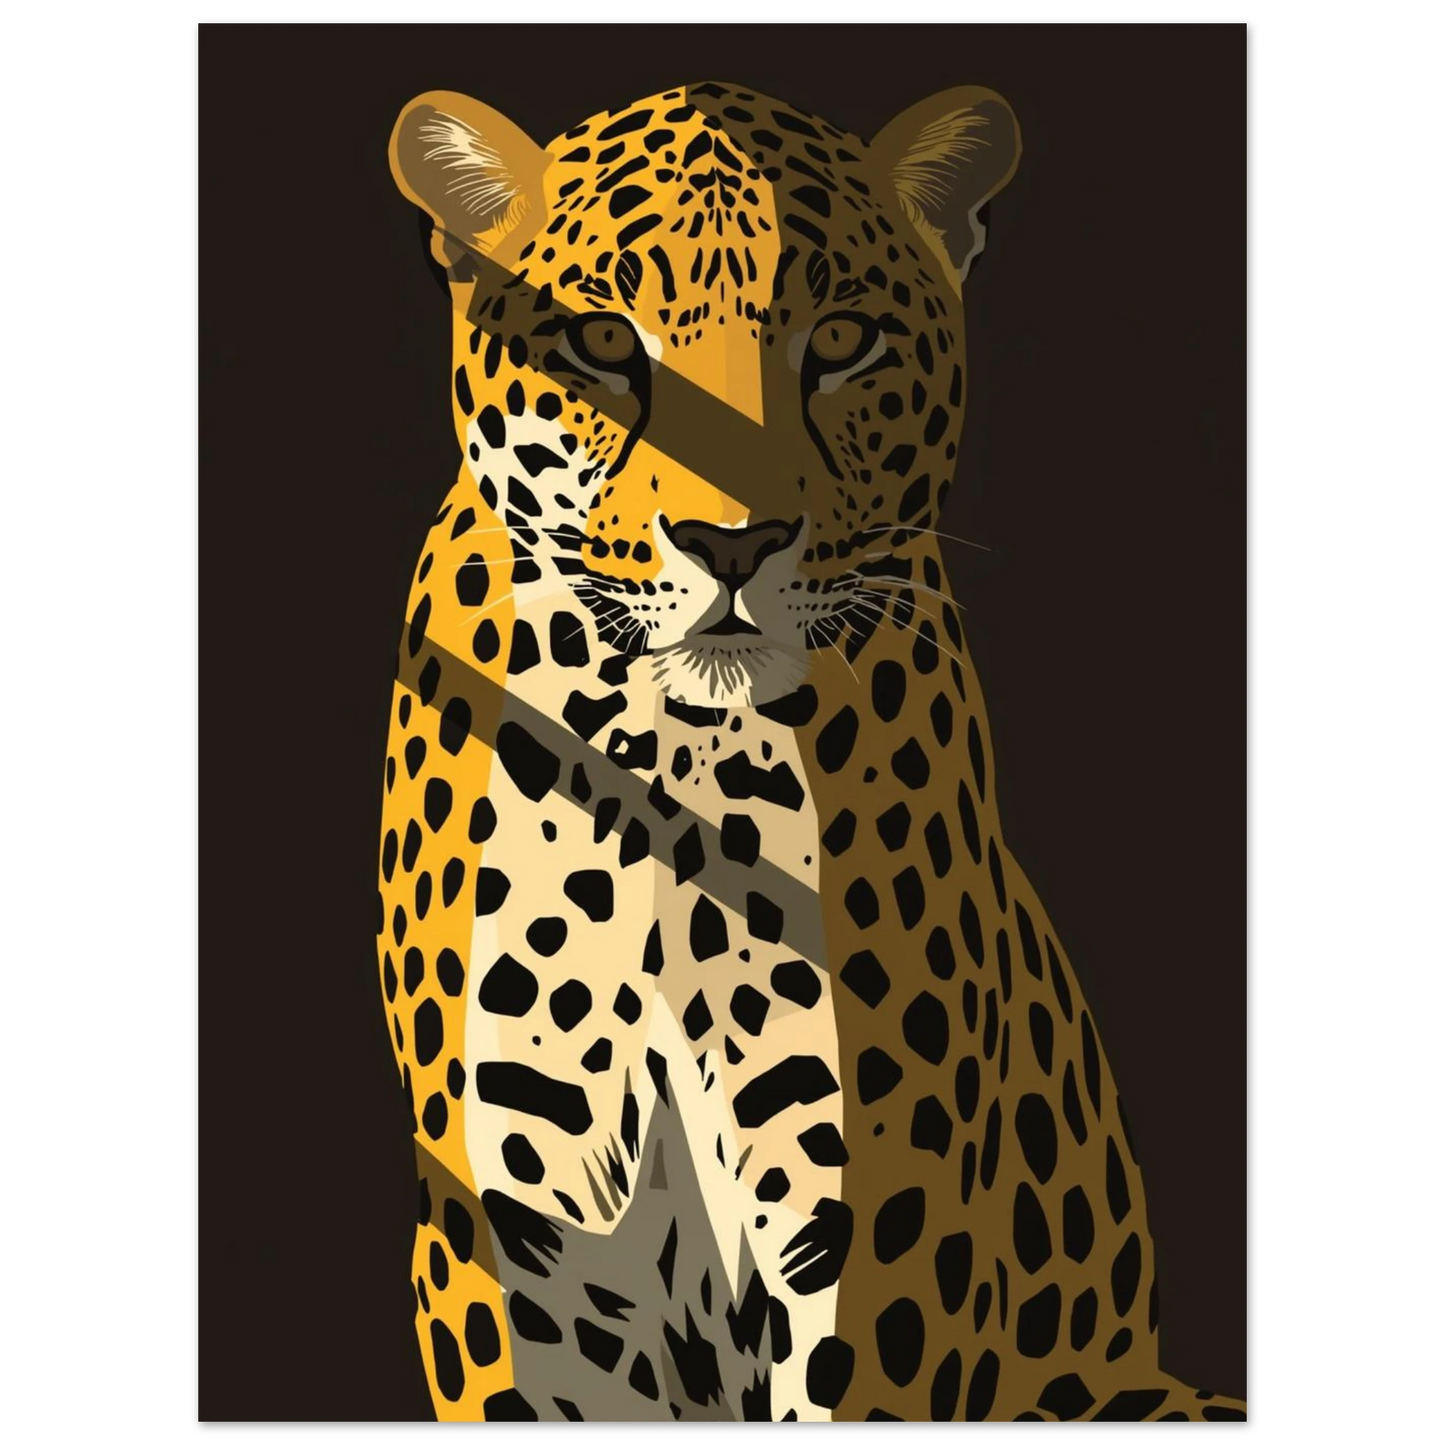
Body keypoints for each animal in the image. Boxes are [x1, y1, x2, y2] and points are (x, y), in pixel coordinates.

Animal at [374, 79, 1247, 1424]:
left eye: (839, 342)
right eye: (603, 344)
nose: (732, 542)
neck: (672, 761)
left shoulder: (878, 1224)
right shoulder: (513, 1234)